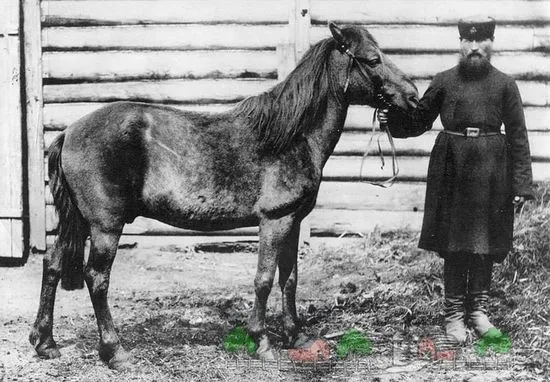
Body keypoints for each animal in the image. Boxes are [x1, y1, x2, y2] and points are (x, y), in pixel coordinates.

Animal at [29, 22, 418, 368]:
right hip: (105, 226)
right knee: (97, 278)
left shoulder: (292, 221)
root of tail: (69, 132)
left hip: (78, 220)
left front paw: (295, 335)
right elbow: (264, 280)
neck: (291, 138)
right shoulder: (274, 221)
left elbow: (289, 278)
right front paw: (261, 342)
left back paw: (45, 342)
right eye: (372, 60)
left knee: (53, 264)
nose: (413, 96)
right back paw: (115, 352)